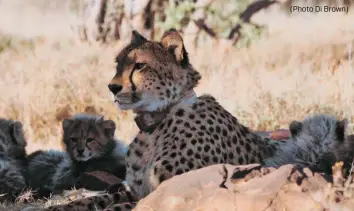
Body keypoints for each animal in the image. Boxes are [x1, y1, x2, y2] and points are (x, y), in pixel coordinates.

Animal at [44, 28, 286, 210]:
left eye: (140, 65)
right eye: (118, 64)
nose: (112, 87)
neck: (156, 123)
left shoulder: (168, 194)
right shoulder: (134, 190)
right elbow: (93, 200)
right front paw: (61, 206)